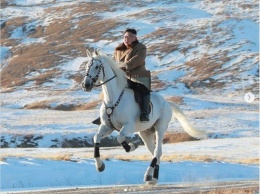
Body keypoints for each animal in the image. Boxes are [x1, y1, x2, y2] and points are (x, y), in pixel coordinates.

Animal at [82, 49, 207, 185]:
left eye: (97, 66)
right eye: (87, 66)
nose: (86, 85)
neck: (113, 99)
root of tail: (167, 103)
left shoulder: (128, 126)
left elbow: (120, 137)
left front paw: (132, 146)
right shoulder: (107, 126)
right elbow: (96, 138)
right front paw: (100, 166)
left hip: (160, 128)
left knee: (157, 151)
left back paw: (148, 176)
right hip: (145, 133)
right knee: (155, 153)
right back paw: (153, 178)